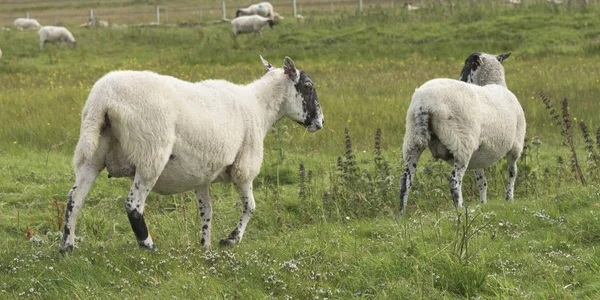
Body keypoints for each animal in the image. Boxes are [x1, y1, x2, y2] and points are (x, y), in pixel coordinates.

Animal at [58, 55, 326, 252]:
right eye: (308, 86)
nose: (321, 123)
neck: (260, 108)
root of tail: (103, 99)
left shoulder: (202, 175)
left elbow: (207, 212)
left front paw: (205, 247)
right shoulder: (244, 167)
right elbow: (251, 206)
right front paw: (231, 240)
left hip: (93, 154)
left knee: (74, 198)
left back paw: (67, 247)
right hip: (150, 154)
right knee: (133, 204)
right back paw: (149, 247)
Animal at [398, 51, 524, 216]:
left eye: (467, 63)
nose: (460, 79)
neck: (495, 83)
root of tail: (424, 104)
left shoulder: (479, 154)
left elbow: (482, 180)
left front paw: (483, 204)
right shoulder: (515, 147)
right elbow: (512, 172)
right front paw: (509, 199)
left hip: (412, 140)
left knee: (405, 180)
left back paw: (400, 215)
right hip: (461, 144)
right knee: (454, 182)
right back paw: (459, 211)